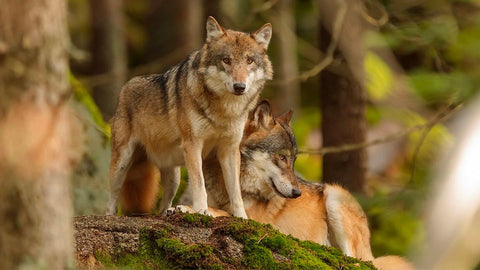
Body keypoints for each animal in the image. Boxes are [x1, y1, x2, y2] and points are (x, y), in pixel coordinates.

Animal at [104, 16, 274, 219]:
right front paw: (202, 210)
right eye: (226, 60)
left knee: (164, 204)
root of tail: (125, 86)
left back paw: (167, 213)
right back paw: (109, 216)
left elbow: (235, 192)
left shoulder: (230, 149)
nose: (239, 87)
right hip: (121, 164)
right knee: (111, 198)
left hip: (174, 178)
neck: (224, 111)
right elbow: (199, 184)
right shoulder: (193, 145)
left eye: (249, 60)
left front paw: (242, 218)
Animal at [175, 100, 412, 270]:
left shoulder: (252, 219)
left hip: (335, 195)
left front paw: (189, 209)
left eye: (294, 160)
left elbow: (219, 212)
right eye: (282, 157)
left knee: (358, 261)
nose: (298, 193)